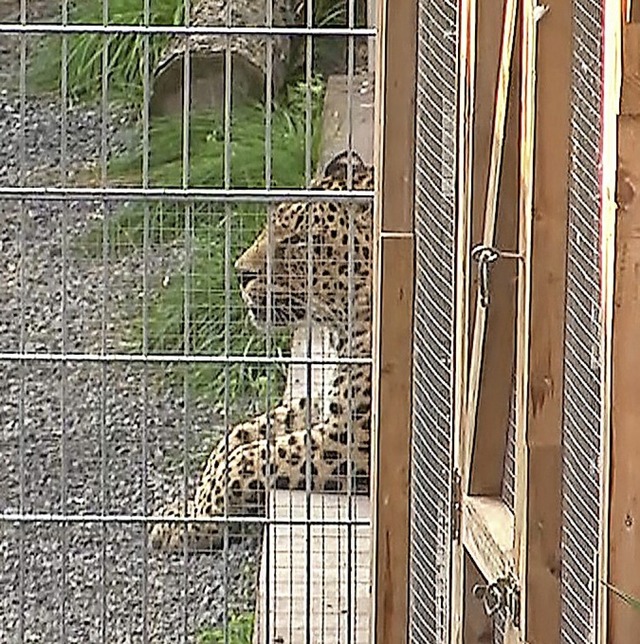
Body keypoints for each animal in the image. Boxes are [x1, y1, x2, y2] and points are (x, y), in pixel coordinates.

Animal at [149, 151, 376, 552]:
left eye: (299, 241)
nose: (240, 273)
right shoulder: (321, 404)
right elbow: (233, 439)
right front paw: (189, 507)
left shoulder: (351, 439)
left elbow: (245, 461)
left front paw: (194, 524)